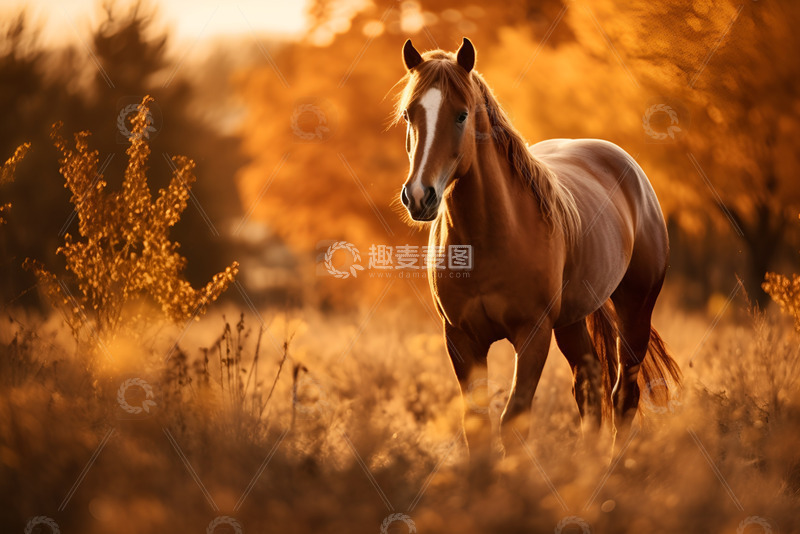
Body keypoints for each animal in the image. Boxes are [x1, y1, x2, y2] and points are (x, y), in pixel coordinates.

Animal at [393, 37, 681, 454]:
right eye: (408, 115)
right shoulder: (461, 338)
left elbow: (513, 421)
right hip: (573, 320)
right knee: (588, 387)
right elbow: (477, 425)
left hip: (635, 309)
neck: (490, 237)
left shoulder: (532, 333)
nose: (419, 196)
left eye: (462, 115)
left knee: (623, 394)